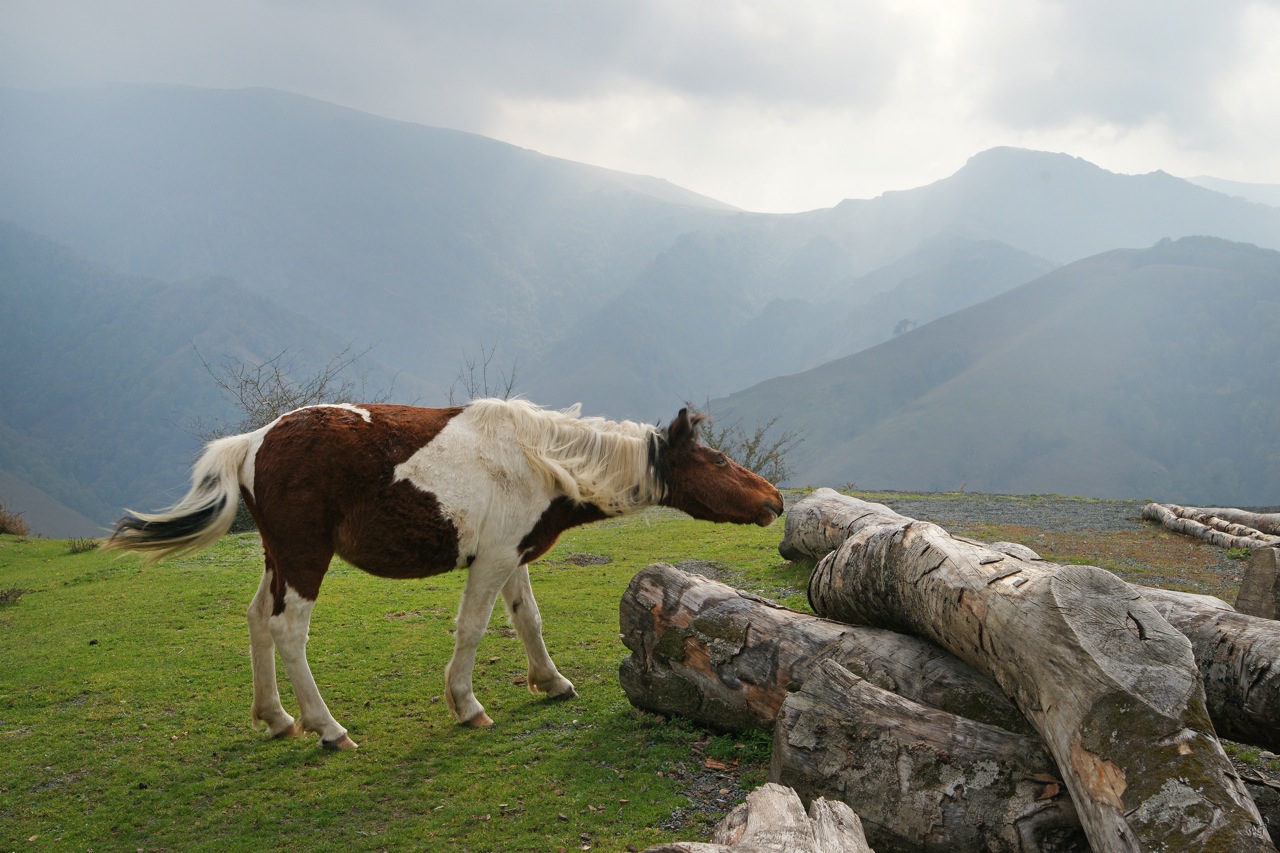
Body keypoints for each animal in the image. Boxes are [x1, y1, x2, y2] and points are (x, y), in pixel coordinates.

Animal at [107, 397, 788, 742]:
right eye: (719, 460)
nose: (775, 500)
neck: (543, 458)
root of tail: (252, 442)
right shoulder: (492, 561)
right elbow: (474, 630)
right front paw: (466, 703)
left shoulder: (512, 555)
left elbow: (529, 620)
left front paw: (551, 681)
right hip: (304, 559)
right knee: (287, 631)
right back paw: (326, 727)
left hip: (279, 559)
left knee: (255, 621)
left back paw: (276, 718)